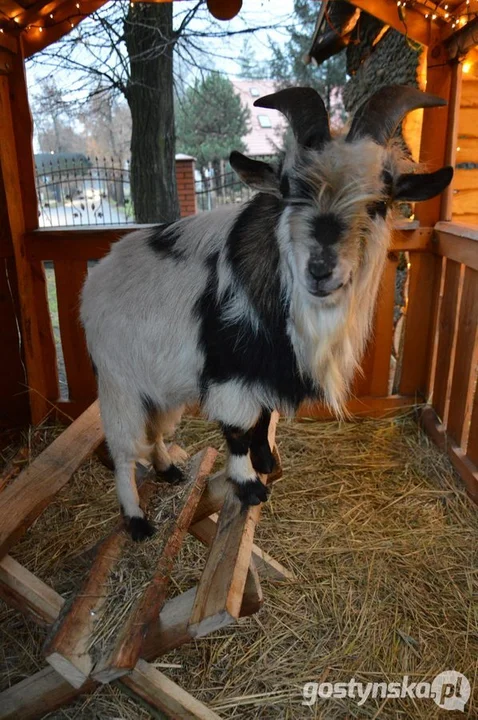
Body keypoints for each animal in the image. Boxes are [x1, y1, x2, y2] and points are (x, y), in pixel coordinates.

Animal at [81, 84, 452, 540]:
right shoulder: (229, 371)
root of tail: (97, 275)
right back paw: (136, 520)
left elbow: (263, 417)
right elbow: (238, 430)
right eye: (290, 188)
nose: (321, 269)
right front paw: (249, 485)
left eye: (381, 200)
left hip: (158, 385)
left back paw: (169, 470)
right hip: (119, 382)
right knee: (123, 449)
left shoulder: (266, 371)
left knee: (155, 431)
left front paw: (267, 462)